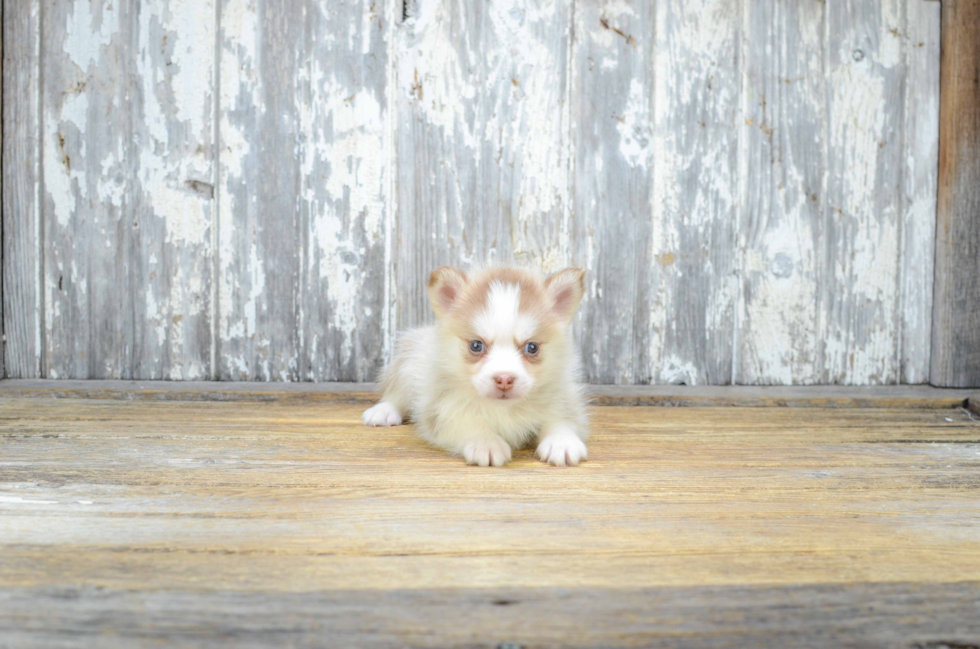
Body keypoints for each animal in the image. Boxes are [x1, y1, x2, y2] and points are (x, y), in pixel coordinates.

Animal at [362, 264, 584, 466]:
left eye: (532, 347)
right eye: (476, 345)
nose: (504, 379)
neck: (502, 408)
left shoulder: (563, 399)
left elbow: (561, 420)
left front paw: (562, 441)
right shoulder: (442, 410)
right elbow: (469, 424)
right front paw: (486, 443)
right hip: (409, 363)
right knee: (396, 394)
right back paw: (383, 411)